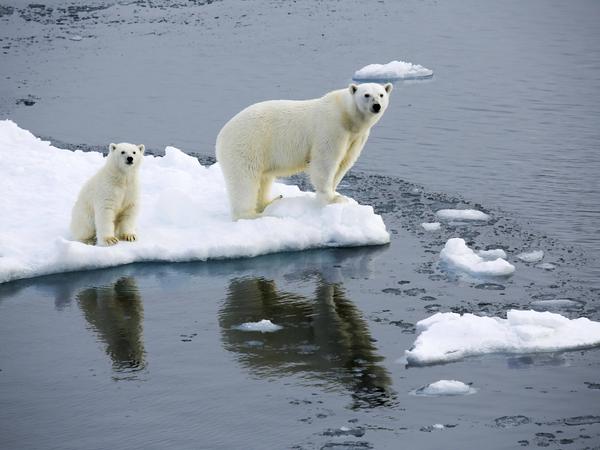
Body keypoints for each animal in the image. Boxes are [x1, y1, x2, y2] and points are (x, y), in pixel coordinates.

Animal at [216, 83, 394, 221]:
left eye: (381, 94)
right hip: (247, 145)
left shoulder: (356, 138)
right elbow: (325, 162)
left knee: (264, 179)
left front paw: (336, 193)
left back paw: (271, 200)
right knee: (244, 181)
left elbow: (344, 163)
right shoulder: (331, 128)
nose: (376, 106)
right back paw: (252, 215)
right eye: (366, 95)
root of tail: (221, 136)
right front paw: (333, 199)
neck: (347, 115)